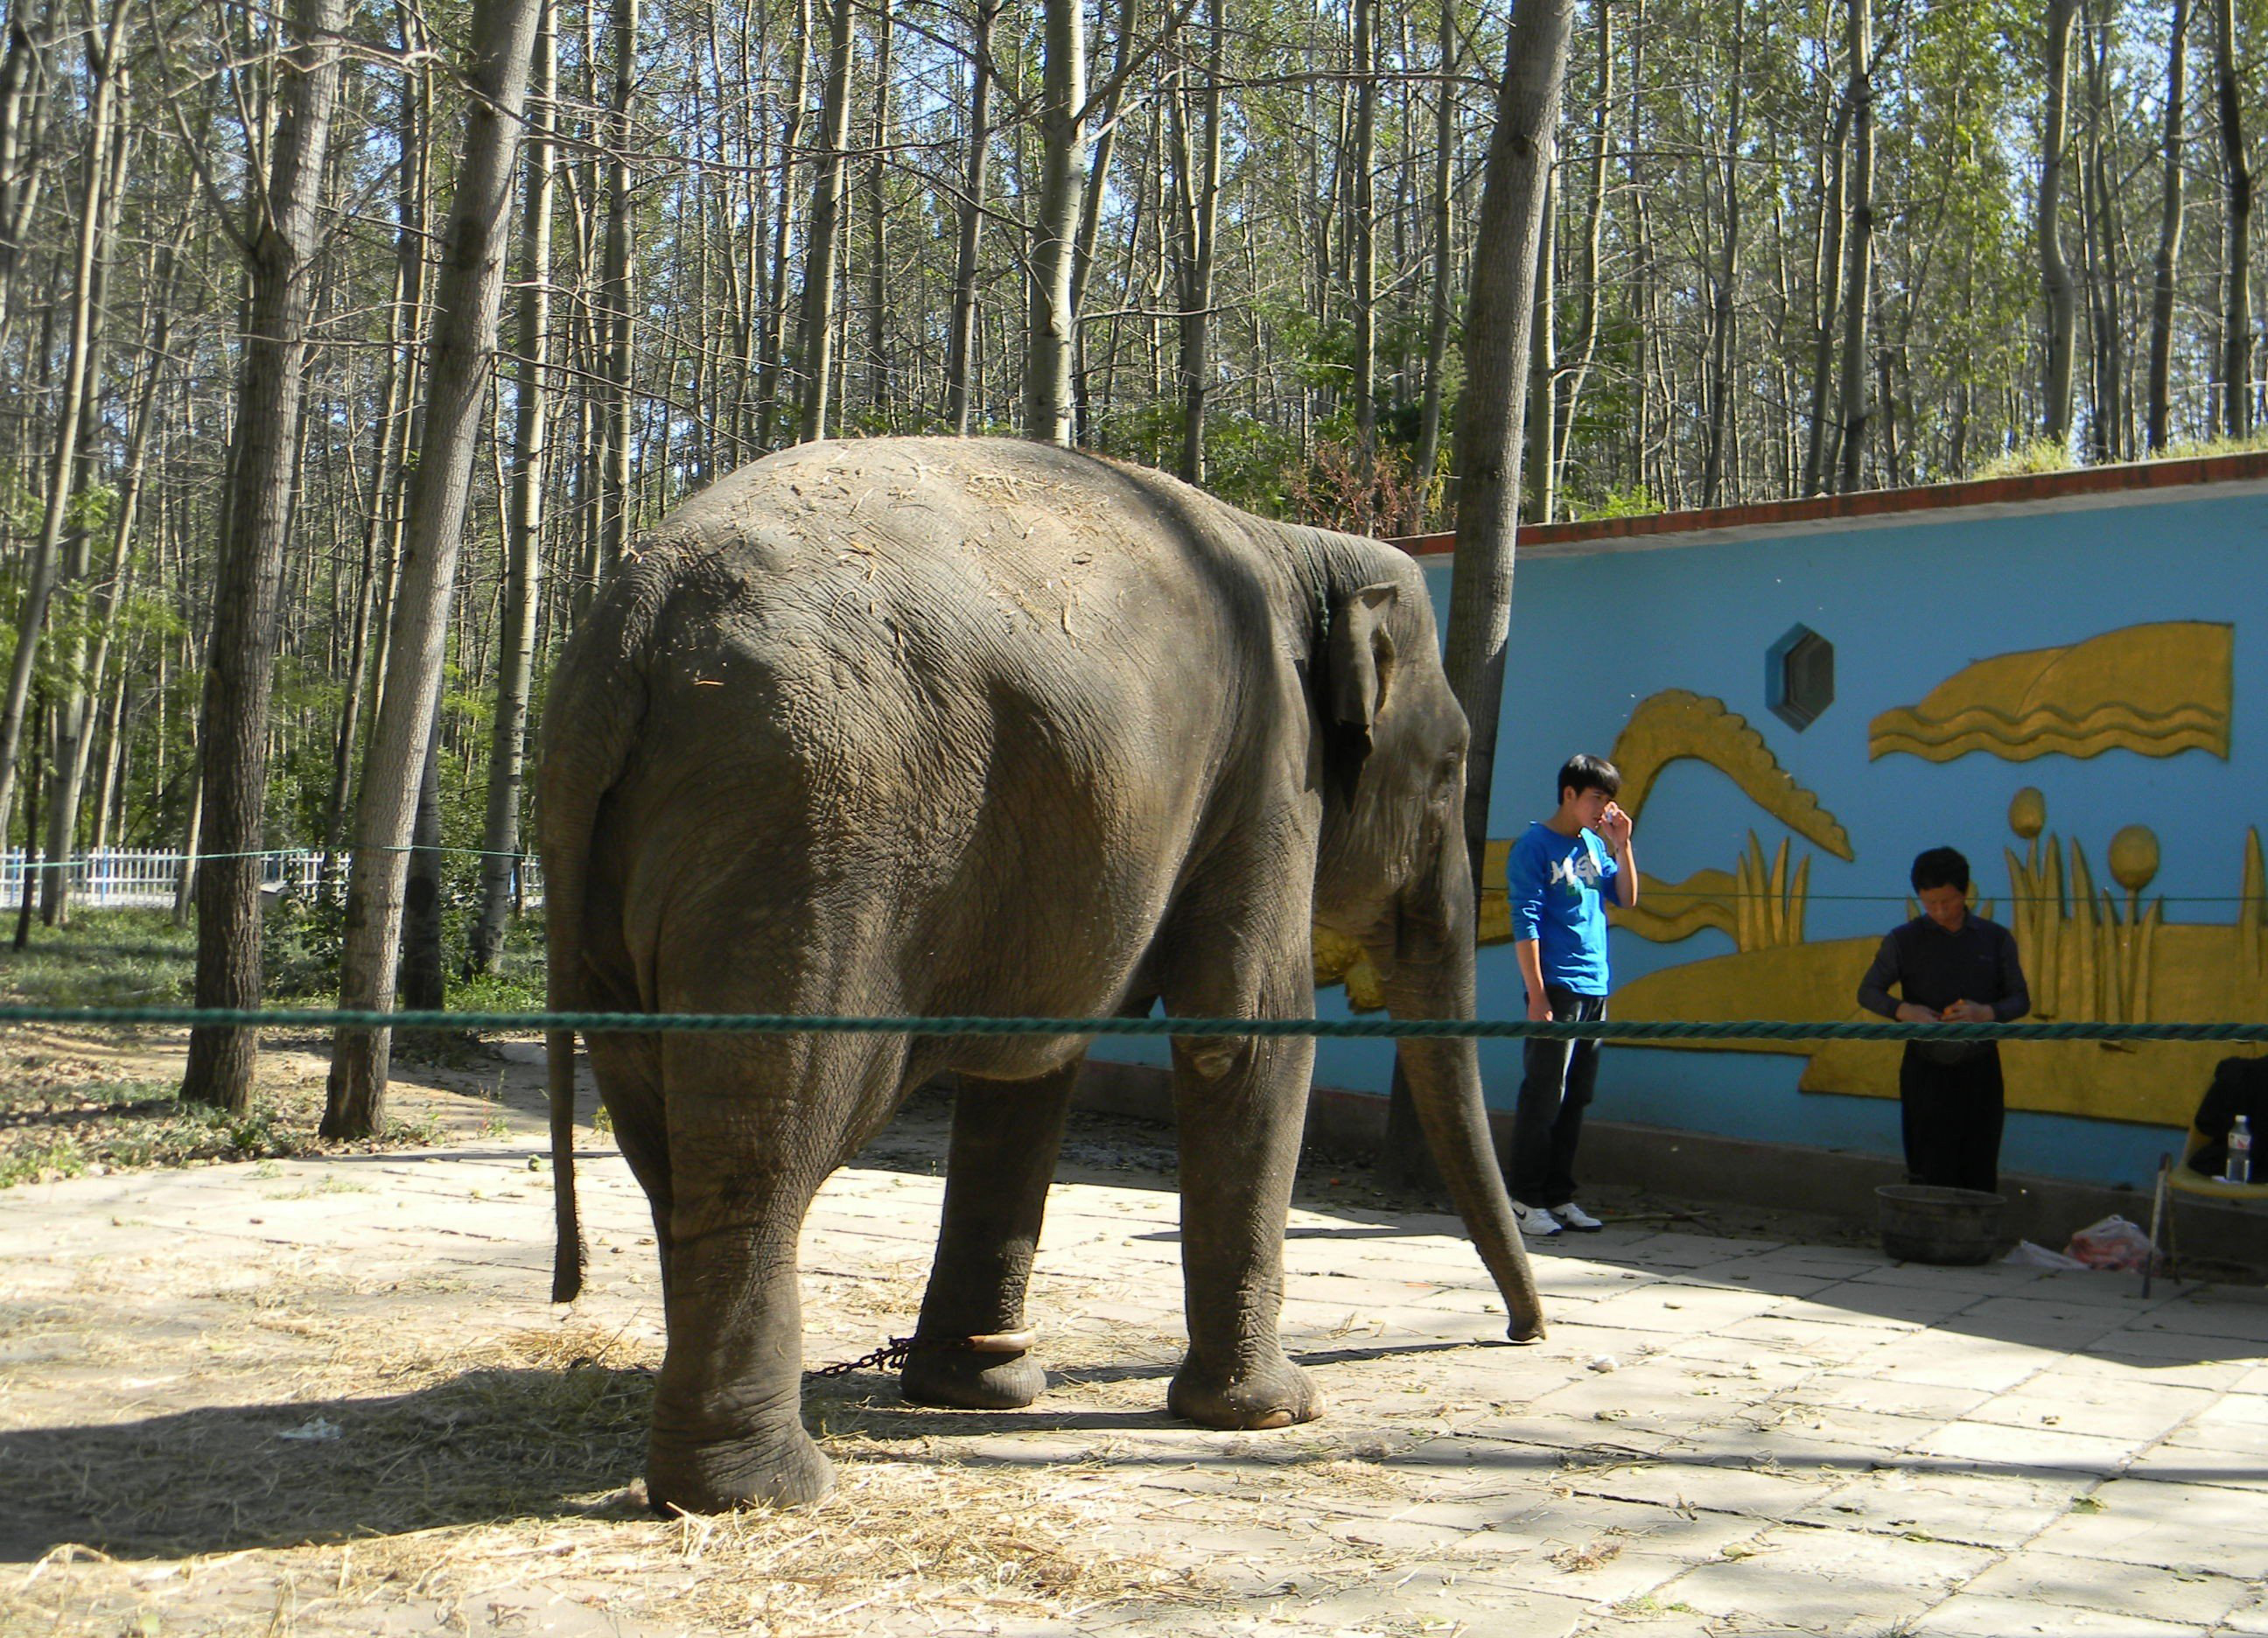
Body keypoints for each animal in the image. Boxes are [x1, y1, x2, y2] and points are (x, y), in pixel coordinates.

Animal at [538, 435, 1546, 1515]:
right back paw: (768, 1490)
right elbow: (1242, 1035)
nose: (1523, 1332)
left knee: (667, 1140)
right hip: (806, 832)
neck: (1301, 545)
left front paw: (982, 1389)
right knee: (766, 1138)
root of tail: (633, 624)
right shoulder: (1270, 769)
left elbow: (1027, 1071)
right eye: (1452, 769)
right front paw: (1276, 1413)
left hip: (631, 882)